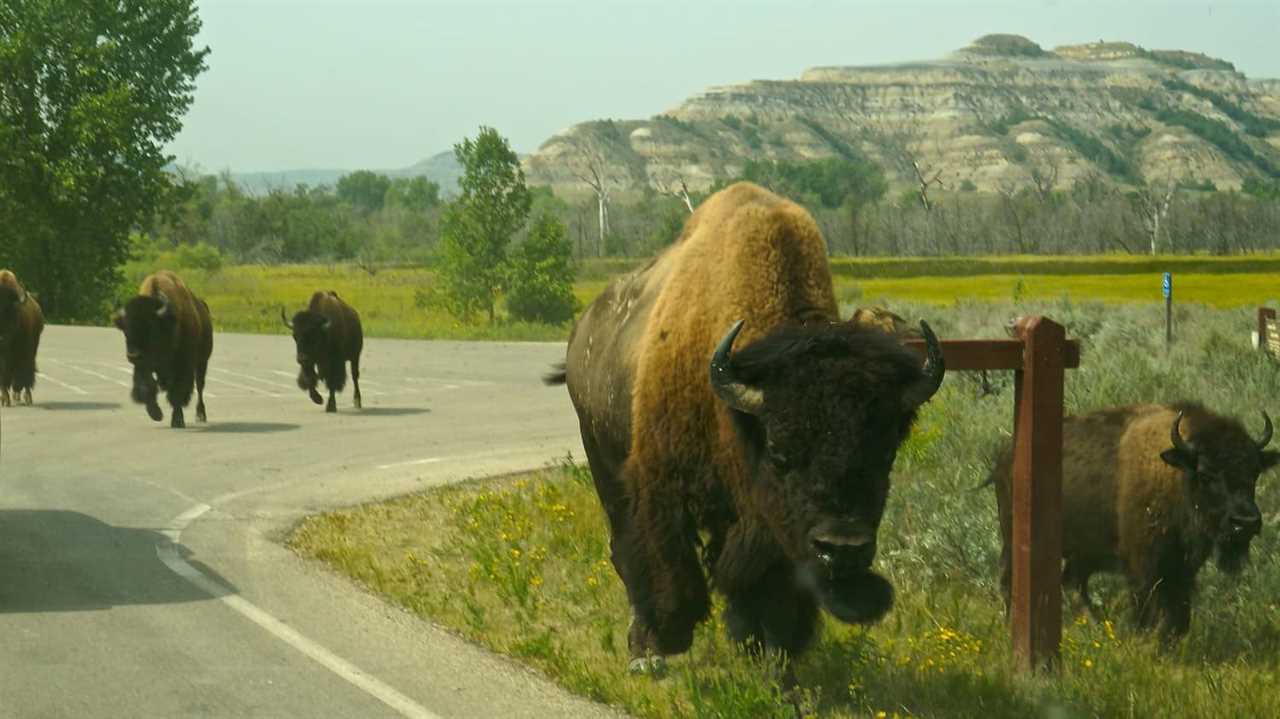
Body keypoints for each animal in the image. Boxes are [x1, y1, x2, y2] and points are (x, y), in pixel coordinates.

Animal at [0, 268, 45, 406]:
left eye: (9, 310)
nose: (1, 339)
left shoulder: (26, 353)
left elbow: (25, 374)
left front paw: (27, 397)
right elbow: (3, 376)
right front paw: (5, 399)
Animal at [114, 268, 212, 424]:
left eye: (151, 328)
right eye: (125, 330)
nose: (133, 355)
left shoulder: (182, 366)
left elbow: (177, 392)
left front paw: (177, 420)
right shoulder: (143, 366)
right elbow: (146, 386)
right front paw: (155, 414)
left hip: (202, 362)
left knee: (200, 386)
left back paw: (200, 415)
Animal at [540, 181, 942, 675]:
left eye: (885, 454)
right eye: (781, 451)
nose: (842, 547)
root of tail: (584, 328)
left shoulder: (770, 527)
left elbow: (772, 590)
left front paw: (773, 664)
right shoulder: (662, 485)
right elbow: (666, 566)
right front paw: (668, 639)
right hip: (602, 459)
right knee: (623, 548)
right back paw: (644, 652)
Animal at [988, 404, 1280, 637]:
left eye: (1254, 472)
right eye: (1206, 474)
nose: (1246, 522)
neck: (1176, 477)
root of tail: (1004, 455)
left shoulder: (1182, 568)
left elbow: (1179, 612)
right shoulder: (1142, 564)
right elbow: (1148, 607)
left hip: (1084, 552)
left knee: (1072, 582)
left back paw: (1095, 626)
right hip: (1015, 540)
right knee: (1009, 580)